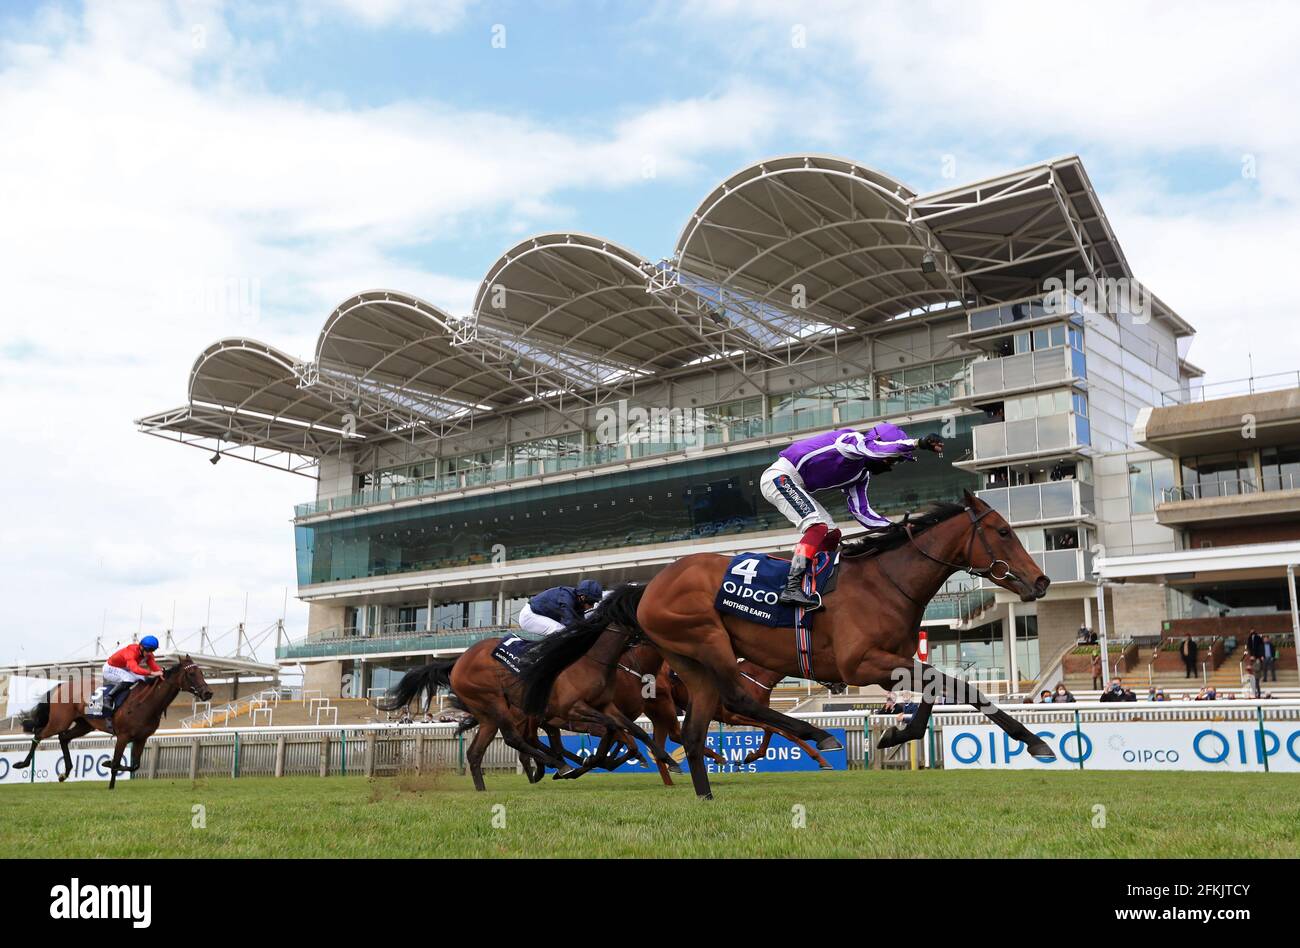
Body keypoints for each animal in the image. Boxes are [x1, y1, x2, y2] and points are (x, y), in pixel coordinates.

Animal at [14, 655, 213, 785]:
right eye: (191, 674)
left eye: (201, 672)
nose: (208, 693)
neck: (145, 702)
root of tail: (62, 685)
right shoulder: (123, 736)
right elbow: (117, 763)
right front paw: (109, 778)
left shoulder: (141, 738)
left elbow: (134, 765)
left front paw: (106, 763)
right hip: (59, 721)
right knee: (39, 734)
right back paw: (22, 763)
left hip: (84, 725)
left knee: (63, 738)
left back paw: (65, 772)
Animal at [517, 496, 1055, 801]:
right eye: (1003, 531)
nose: (1041, 581)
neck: (886, 581)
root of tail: (649, 585)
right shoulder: (861, 663)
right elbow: (953, 685)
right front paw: (1032, 741)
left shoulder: (891, 663)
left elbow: (941, 690)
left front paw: (898, 734)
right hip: (706, 639)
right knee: (738, 700)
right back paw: (817, 736)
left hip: (689, 660)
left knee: (693, 729)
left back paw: (705, 793)